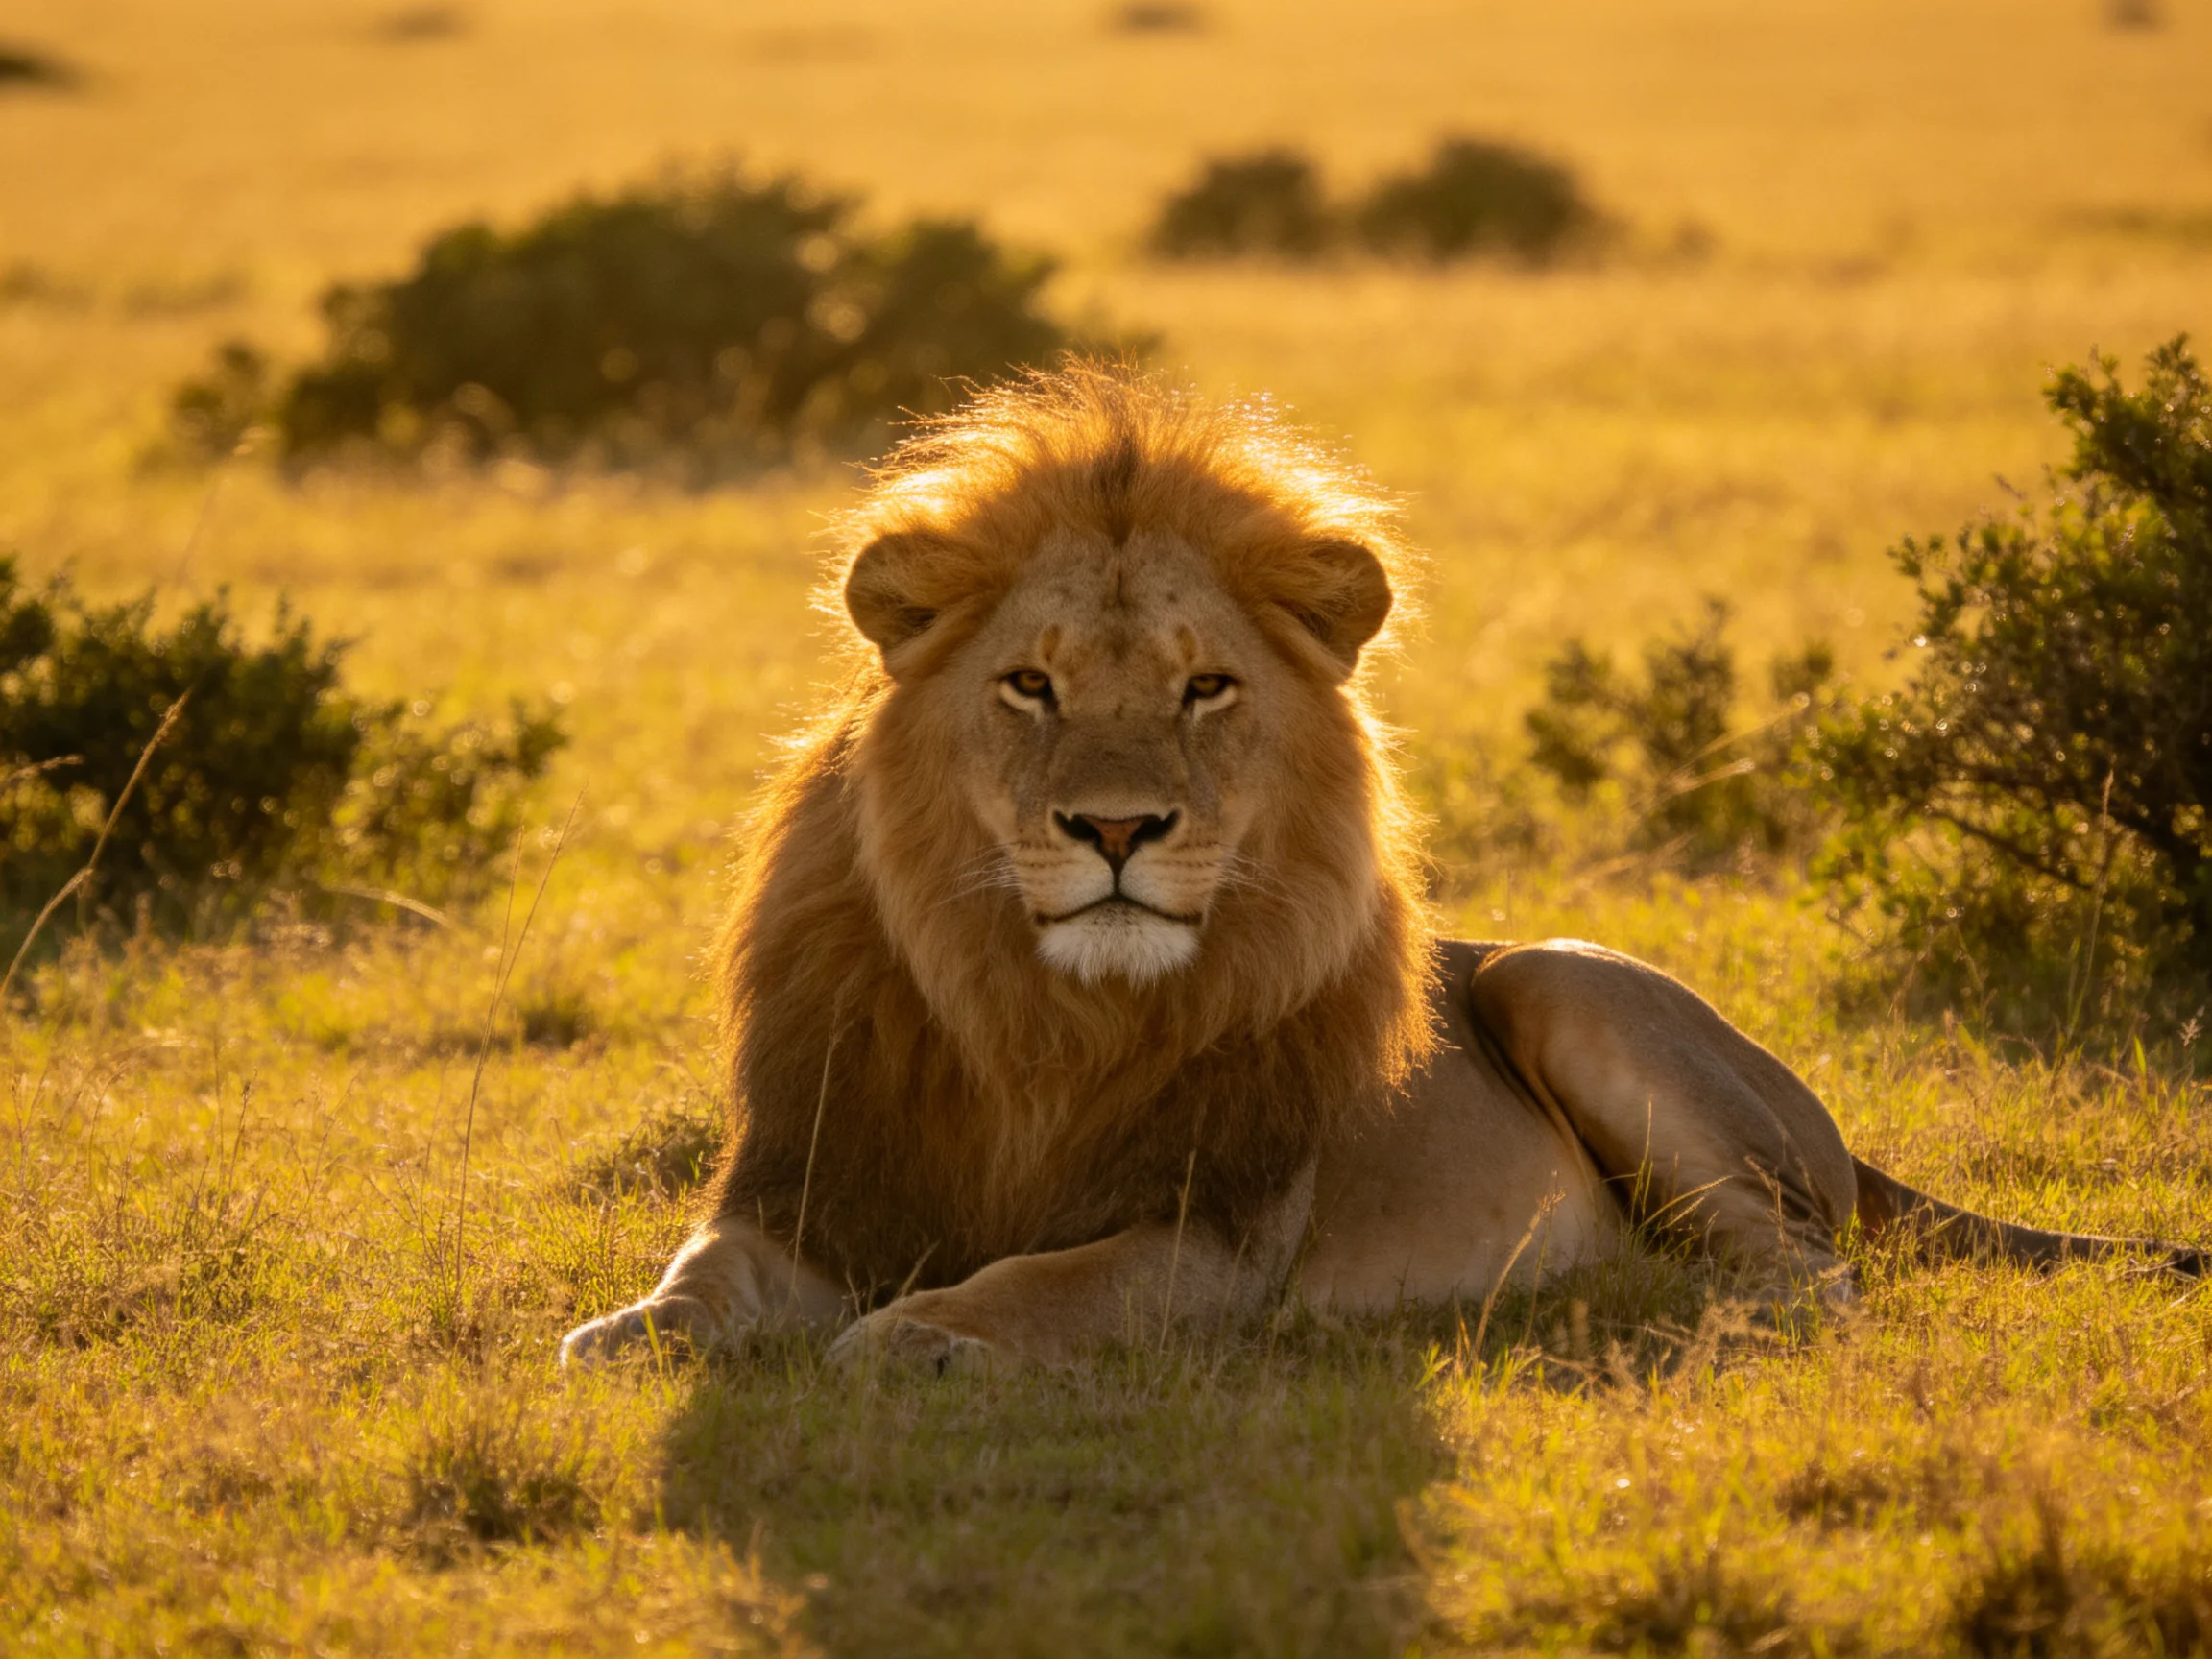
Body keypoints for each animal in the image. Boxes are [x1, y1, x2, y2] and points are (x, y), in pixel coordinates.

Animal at [562, 363, 2204, 1372]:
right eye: (1029, 686)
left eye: (1204, 689)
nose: (1117, 831)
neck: (1042, 1017)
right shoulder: (811, 1184)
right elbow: (696, 1282)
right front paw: (616, 1339)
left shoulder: (1214, 1237)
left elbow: (1042, 1283)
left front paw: (914, 1336)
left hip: (1561, 985)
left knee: (1802, 1269)